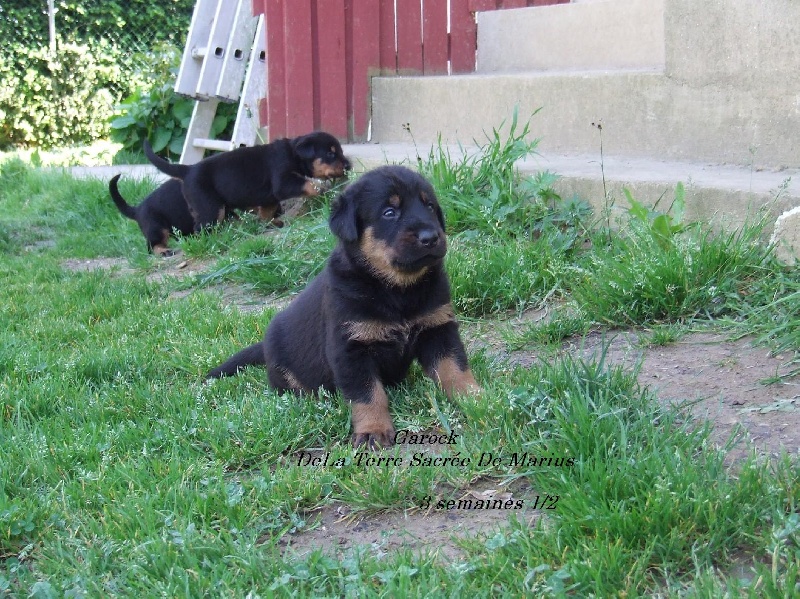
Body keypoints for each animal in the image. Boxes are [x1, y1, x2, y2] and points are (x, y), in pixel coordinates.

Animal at [144, 131, 350, 232]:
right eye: (330, 154)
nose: (348, 165)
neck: (294, 154)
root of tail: (188, 170)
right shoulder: (283, 182)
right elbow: (308, 184)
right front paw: (323, 190)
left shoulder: (269, 198)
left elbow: (266, 213)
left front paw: (272, 223)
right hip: (210, 208)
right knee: (201, 228)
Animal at [208, 165, 482, 450]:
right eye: (389, 212)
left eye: (429, 206)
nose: (431, 237)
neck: (397, 289)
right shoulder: (350, 347)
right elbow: (368, 394)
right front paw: (373, 430)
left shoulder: (438, 327)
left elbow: (454, 368)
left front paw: (476, 399)